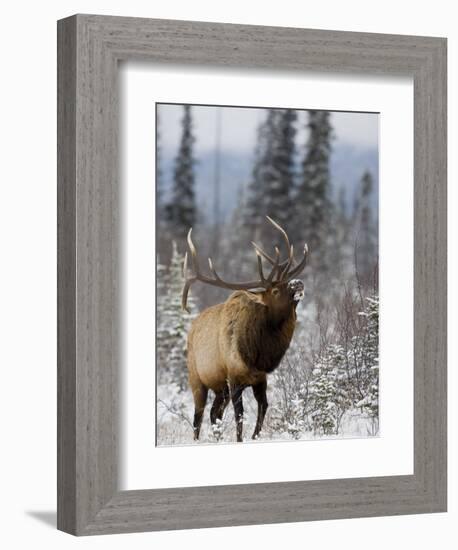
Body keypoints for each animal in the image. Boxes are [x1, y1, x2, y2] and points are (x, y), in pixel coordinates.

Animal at [182, 217, 308, 444]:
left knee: (214, 413)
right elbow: (239, 415)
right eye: (275, 290)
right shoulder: (234, 378)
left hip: (220, 388)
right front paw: (241, 439)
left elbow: (263, 407)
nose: (298, 283)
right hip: (197, 378)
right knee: (199, 415)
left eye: (287, 282)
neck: (258, 354)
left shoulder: (260, 379)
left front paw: (255, 436)